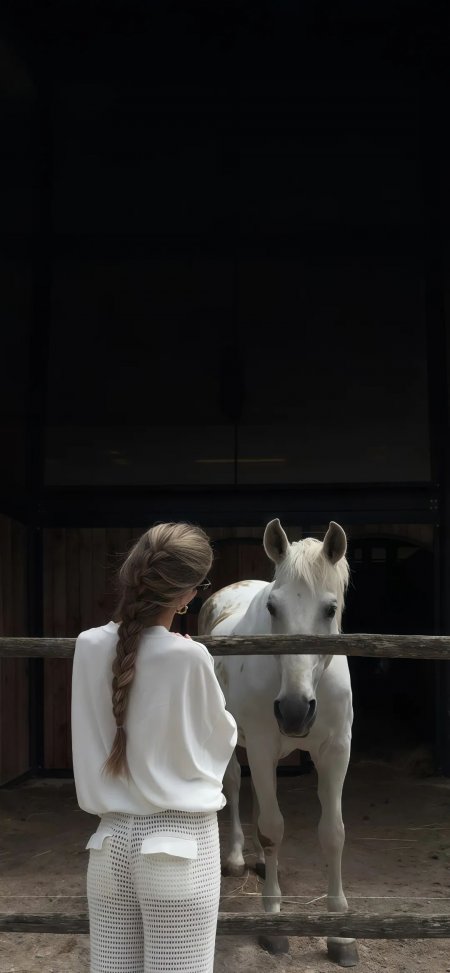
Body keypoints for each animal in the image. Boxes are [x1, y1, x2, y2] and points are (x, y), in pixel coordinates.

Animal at [198, 518, 359, 968]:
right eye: (273, 608)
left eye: (330, 609)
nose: (293, 711)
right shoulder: (263, 747)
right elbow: (272, 830)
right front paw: (273, 925)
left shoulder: (336, 752)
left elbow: (333, 832)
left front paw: (340, 934)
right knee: (235, 785)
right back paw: (237, 858)